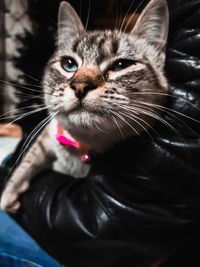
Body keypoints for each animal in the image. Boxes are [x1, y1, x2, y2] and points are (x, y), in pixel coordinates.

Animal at [0, 0, 169, 214]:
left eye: (121, 65)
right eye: (69, 64)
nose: (80, 85)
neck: (83, 146)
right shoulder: (49, 134)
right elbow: (27, 162)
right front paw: (8, 195)